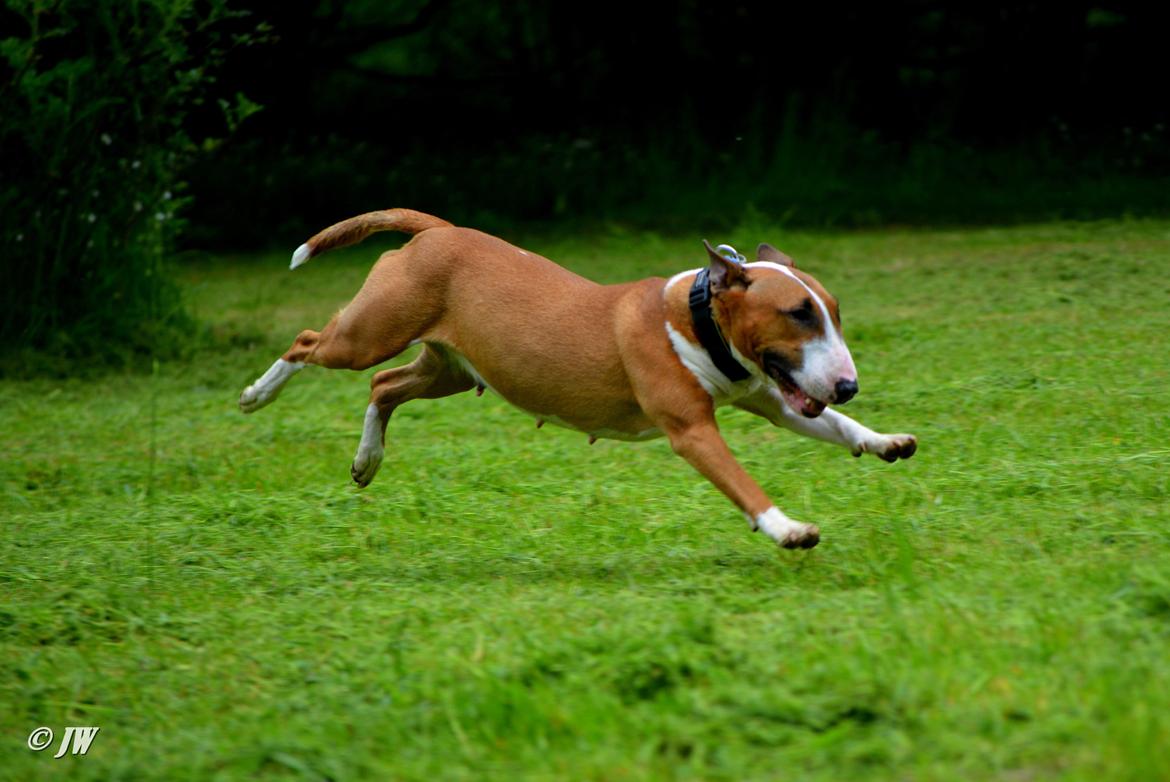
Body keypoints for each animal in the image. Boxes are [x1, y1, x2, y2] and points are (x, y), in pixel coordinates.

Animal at [237, 209, 912, 550]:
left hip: (452, 367)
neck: (693, 316)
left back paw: (367, 460)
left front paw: (883, 441)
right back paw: (256, 395)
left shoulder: (772, 398)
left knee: (383, 387)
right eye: (798, 314)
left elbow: (834, 425)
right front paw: (788, 529)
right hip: (368, 333)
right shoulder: (691, 429)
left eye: (833, 312)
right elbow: (744, 484)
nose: (848, 384)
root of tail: (439, 230)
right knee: (310, 344)